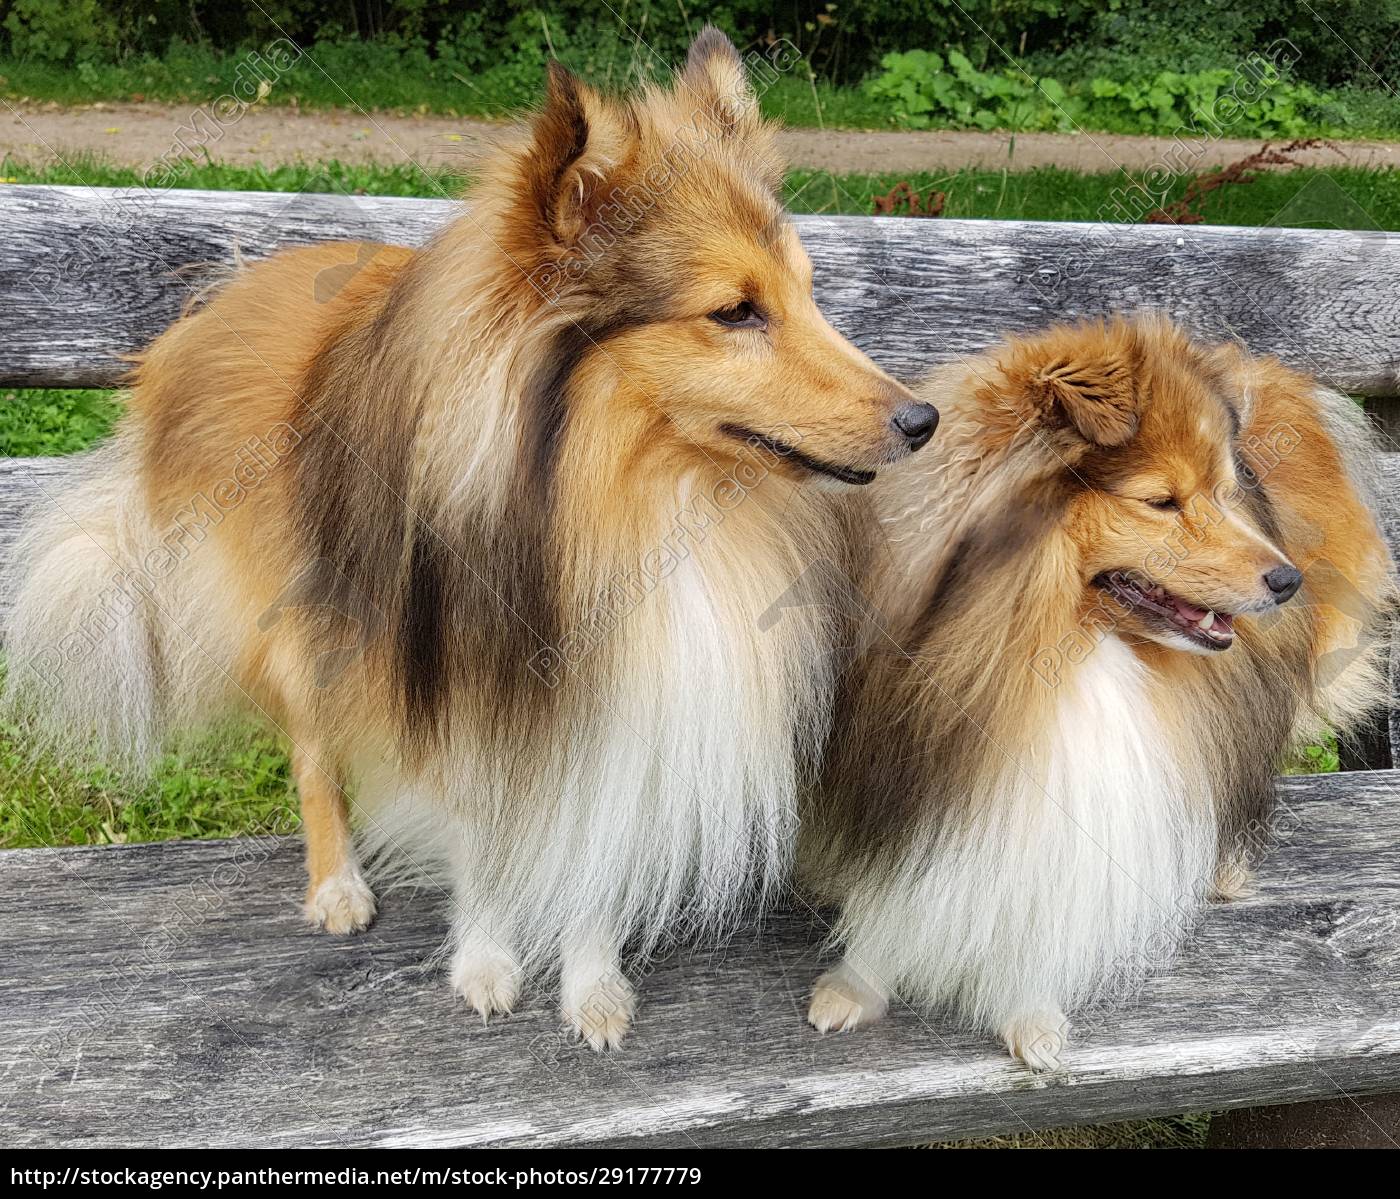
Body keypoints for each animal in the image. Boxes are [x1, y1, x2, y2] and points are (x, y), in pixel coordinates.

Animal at [8, 30, 940, 1047]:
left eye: (810, 295)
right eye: (735, 311)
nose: (923, 421)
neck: (628, 500)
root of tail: (230, 292)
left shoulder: (621, 692)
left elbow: (593, 843)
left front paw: (591, 984)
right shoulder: (456, 668)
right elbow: (478, 840)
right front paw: (486, 962)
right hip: (302, 616)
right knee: (311, 748)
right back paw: (337, 885)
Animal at [806, 310, 1394, 1070]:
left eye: (1222, 493)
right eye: (1162, 501)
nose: (1287, 579)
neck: (1063, 646)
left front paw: (1030, 1019)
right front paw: (854, 988)